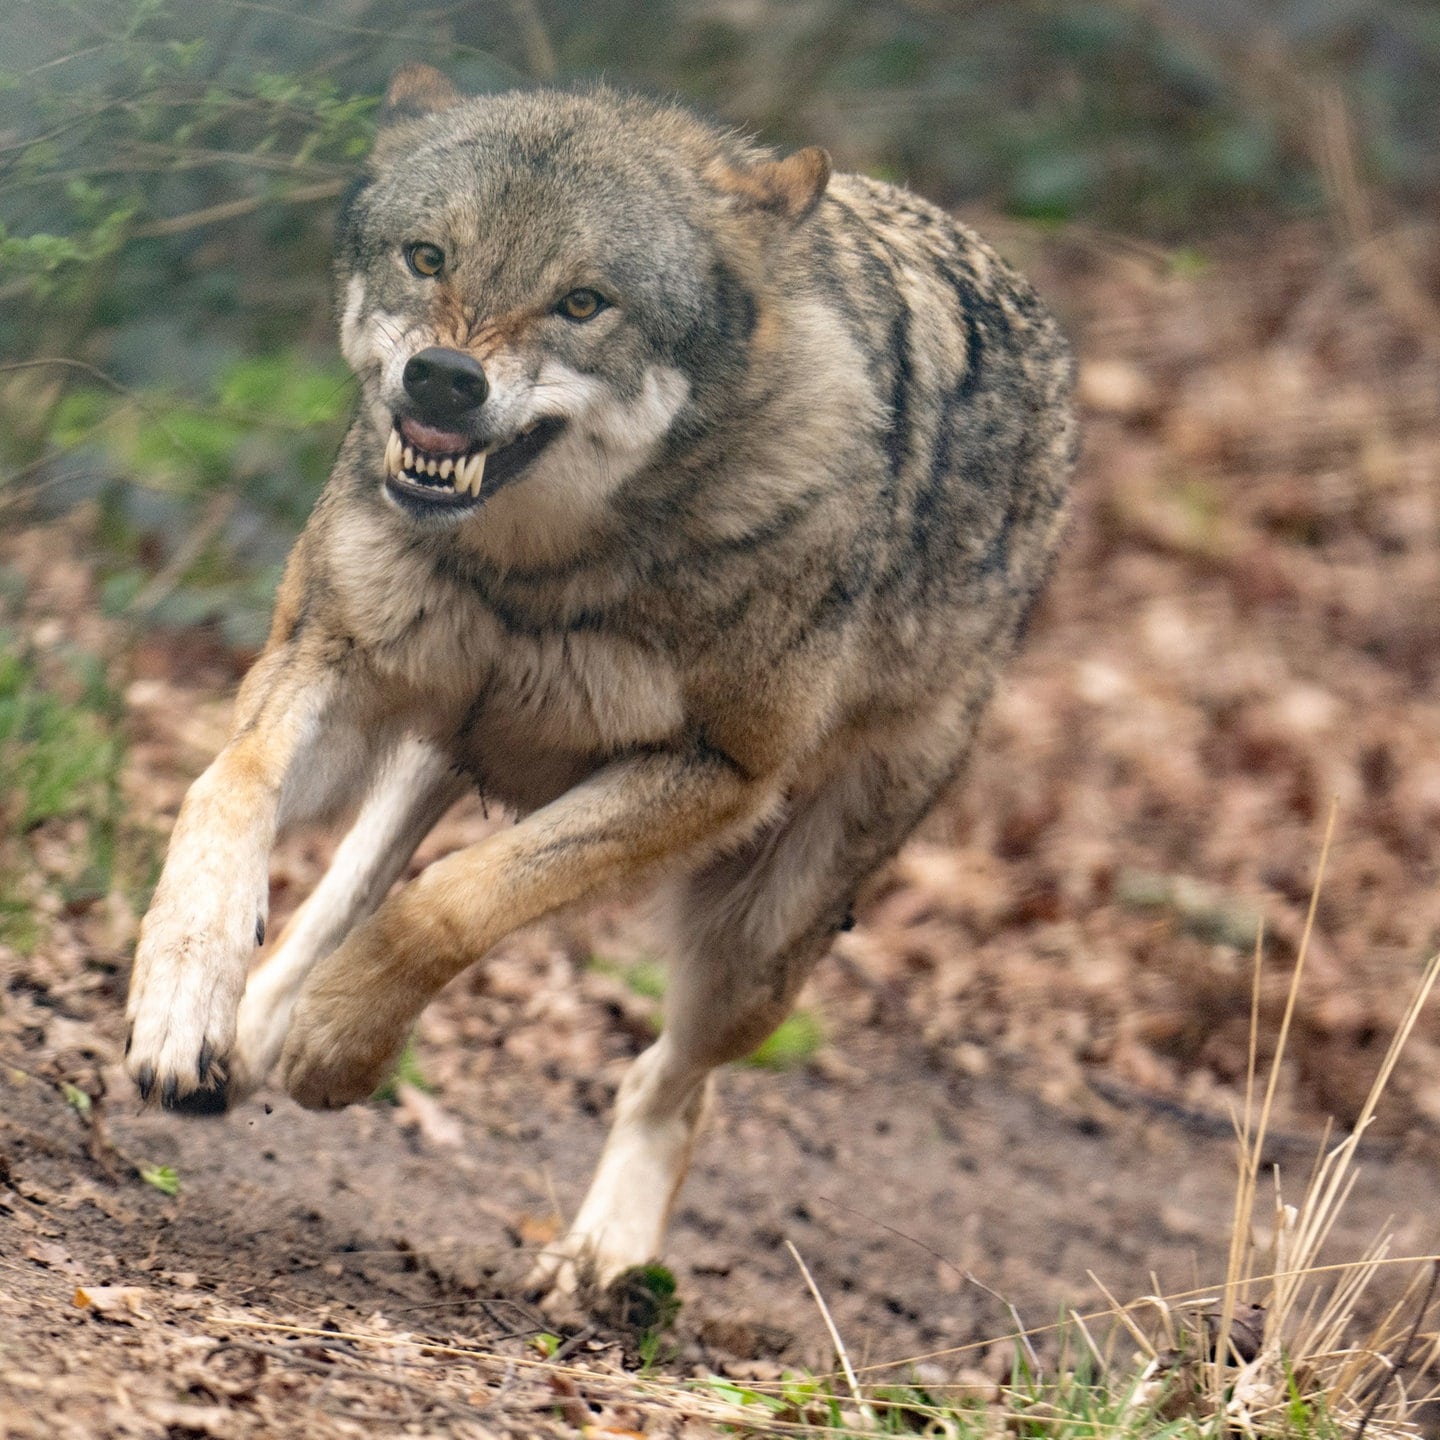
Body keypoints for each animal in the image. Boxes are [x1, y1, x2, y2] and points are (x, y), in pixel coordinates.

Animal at [123, 64, 1077, 1296]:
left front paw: (339, 1050)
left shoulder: (715, 778)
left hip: (756, 949)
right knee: (343, 889)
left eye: (584, 303)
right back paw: (245, 1035)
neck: (536, 571)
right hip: (436, 749)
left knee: (669, 1083)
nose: (444, 377)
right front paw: (182, 1001)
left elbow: (455, 904)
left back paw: (600, 1258)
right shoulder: (332, 658)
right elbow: (225, 791)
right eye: (428, 257)